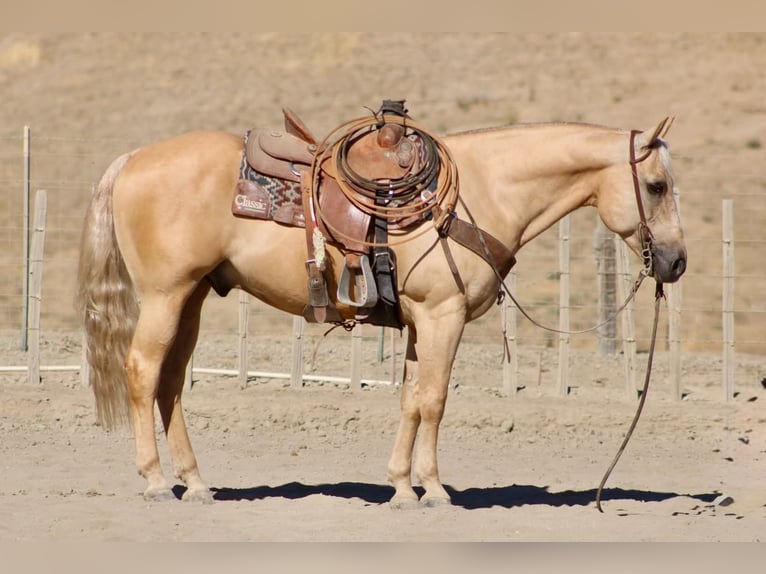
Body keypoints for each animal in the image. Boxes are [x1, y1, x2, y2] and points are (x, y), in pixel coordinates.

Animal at [76, 111, 686, 508]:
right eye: (656, 185)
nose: (676, 261)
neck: (479, 191)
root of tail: (131, 160)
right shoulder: (442, 316)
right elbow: (435, 400)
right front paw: (434, 491)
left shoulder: (421, 323)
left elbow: (411, 400)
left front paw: (400, 486)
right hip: (165, 294)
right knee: (143, 371)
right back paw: (156, 482)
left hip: (194, 296)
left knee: (172, 381)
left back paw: (197, 484)